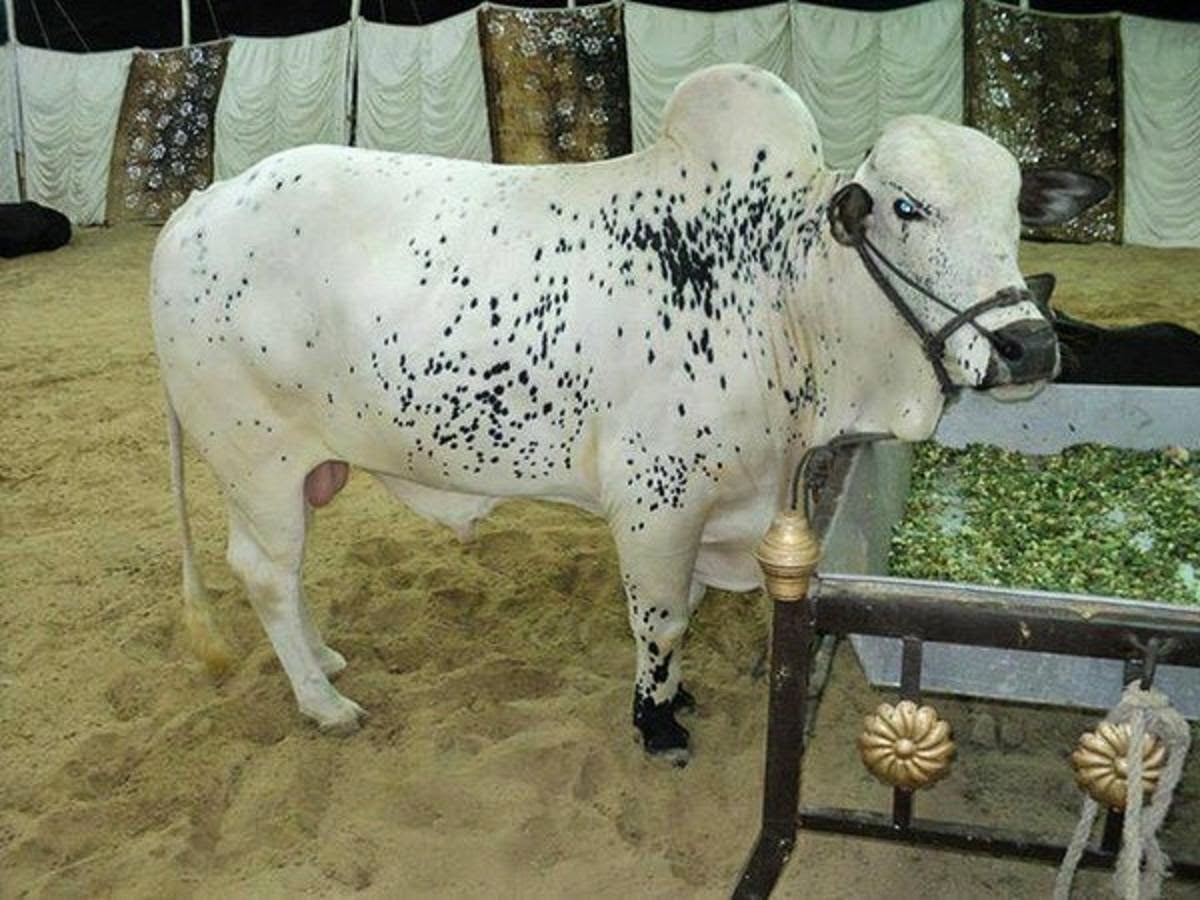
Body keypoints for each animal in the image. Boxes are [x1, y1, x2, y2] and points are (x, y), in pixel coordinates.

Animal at [151, 65, 1106, 762]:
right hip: (258, 461)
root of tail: (201, 205)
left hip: (300, 472)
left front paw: (676, 694)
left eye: (1017, 210)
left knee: (285, 577)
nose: (1028, 345)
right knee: (267, 574)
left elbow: (684, 615)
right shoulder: (656, 500)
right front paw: (657, 721)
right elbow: (664, 618)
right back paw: (323, 699)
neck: (786, 289)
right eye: (908, 207)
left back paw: (323, 658)